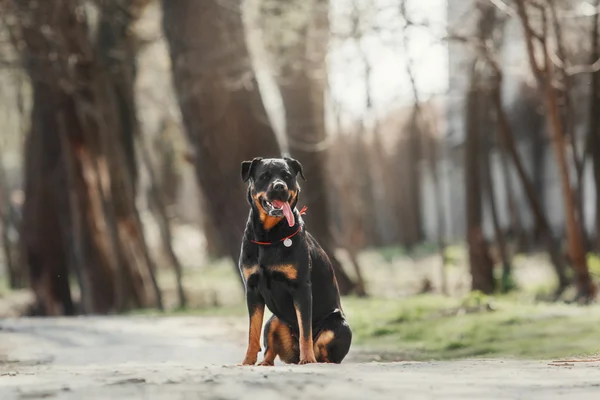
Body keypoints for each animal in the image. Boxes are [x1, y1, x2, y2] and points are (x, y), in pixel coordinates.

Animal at [237, 156, 352, 366]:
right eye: (264, 176)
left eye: (287, 176)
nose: (279, 186)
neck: (270, 236)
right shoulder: (252, 288)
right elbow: (252, 332)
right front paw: (247, 361)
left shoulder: (301, 288)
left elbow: (305, 328)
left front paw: (307, 360)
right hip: (273, 321)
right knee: (270, 349)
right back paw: (264, 363)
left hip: (339, 326)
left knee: (325, 351)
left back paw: (315, 359)